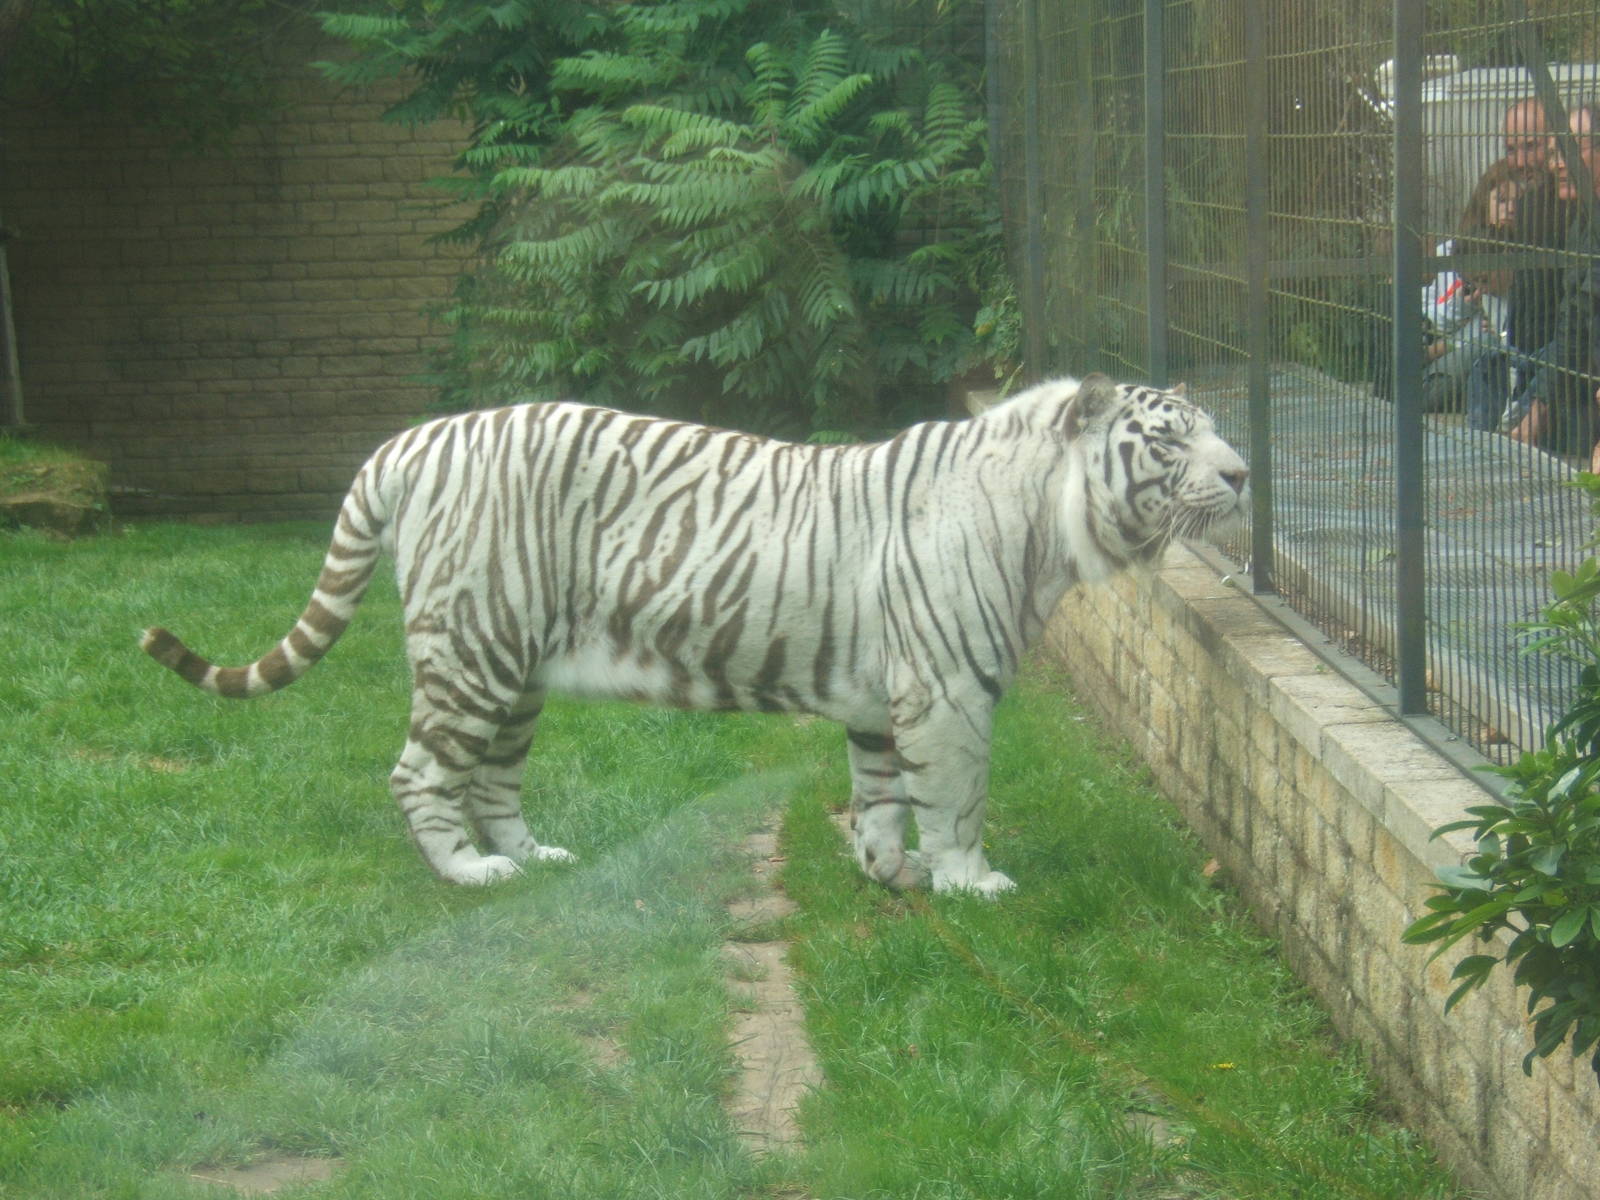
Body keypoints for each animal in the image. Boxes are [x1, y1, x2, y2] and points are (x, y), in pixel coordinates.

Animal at [141, 374, 1248, 896]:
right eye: (1169, 440)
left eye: (1214, 431)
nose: (1242, 474)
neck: (1052, 531)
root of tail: (410, 441)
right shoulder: (948, 692)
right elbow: (957, 799)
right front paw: (973, 884)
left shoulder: (885, 695)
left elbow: (883, 795)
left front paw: (889, 876)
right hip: (472, 649)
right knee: (420, 772)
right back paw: (468, 872)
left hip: (516, 671)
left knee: (491, 778)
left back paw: (536, 856)